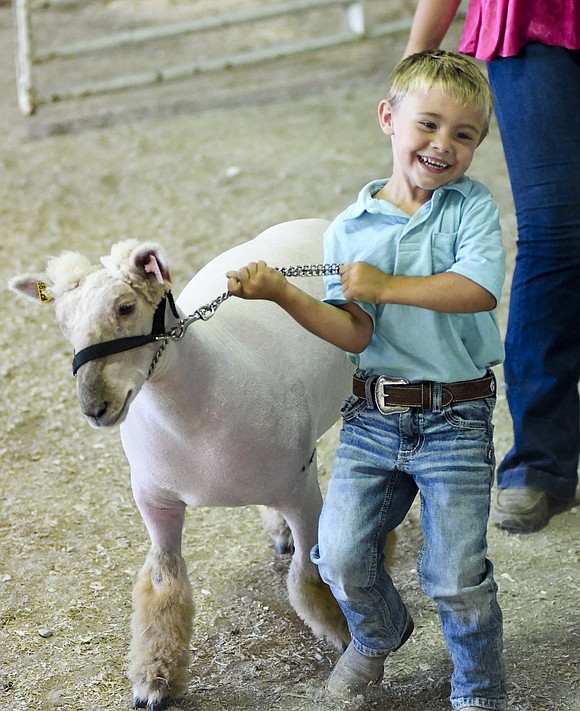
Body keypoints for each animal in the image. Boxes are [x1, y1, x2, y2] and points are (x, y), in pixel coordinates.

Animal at [9, 219, 354, 710]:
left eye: (126, 306)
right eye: (63, 324)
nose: (94, 407)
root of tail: (317, 222)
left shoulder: (300, 486)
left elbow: (311, 570)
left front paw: (344, 632)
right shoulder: (155, 500)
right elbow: (163, 585)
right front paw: (154, 682)